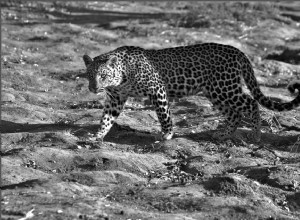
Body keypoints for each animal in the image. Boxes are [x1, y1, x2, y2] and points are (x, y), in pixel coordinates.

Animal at [83, 43, 300, 143]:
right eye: (89, 75)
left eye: (103, 75)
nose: (93, 88)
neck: (122, 77)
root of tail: (237, 51)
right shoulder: (115, 98)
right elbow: (106, 118)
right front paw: (97, 135)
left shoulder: (157, 89)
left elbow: (164, 115)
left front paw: (167, 134)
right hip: (215, 92)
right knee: (234, 113)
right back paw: (223, 134)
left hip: (225, 88)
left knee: (250, 103)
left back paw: (256, 135)